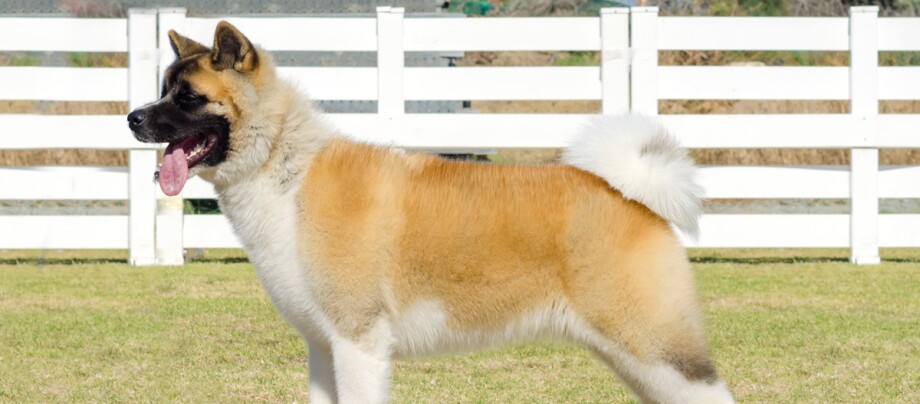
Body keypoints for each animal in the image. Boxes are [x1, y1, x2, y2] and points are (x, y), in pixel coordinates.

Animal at [127, 21, 732, 404]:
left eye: (188, 97)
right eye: (163, 89)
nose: (132, 118)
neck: (284, 165)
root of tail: (628, 188)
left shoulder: (359, 344)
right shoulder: (324, 348)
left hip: (655, 346)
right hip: (633, 357)